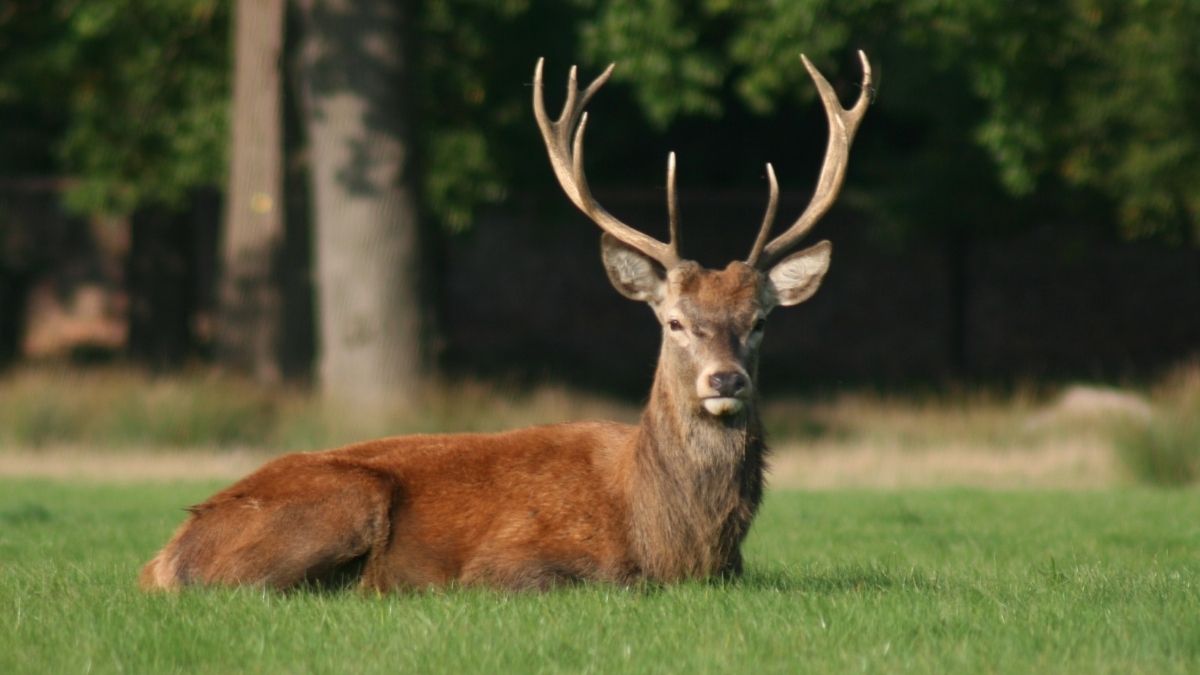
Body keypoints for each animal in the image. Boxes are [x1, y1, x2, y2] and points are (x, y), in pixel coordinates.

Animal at [140, 51, 872, 592]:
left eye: (760, 320)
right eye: (673, 321)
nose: (725, 380)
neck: (673, 541)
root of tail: (162, 556)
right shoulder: (512, 560)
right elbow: (596, 579)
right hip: (343, 499)